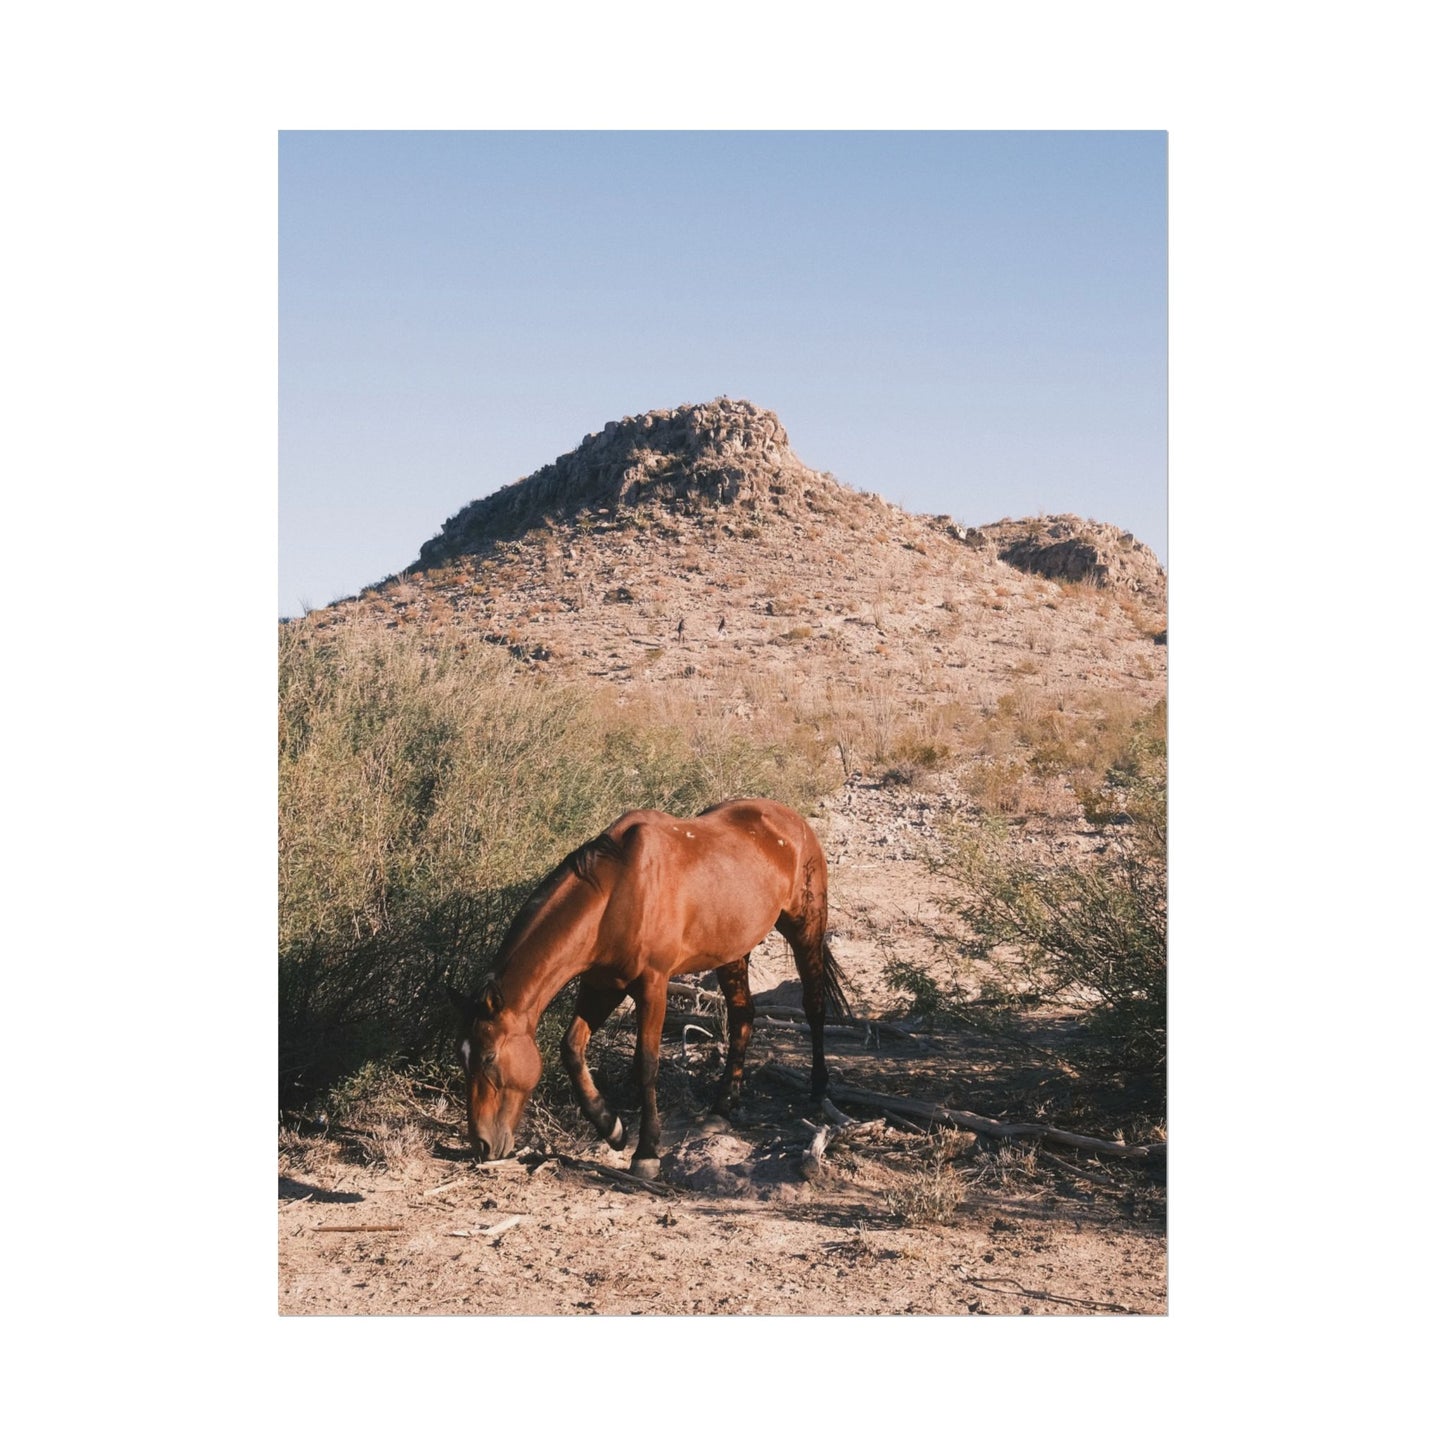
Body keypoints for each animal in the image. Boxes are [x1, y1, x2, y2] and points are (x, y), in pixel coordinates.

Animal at [446, 797, 850, 1179]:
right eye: (463, 1059)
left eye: (488, 1058)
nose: (482, 1144)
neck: (615, 894)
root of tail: (792, 820)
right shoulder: (602, 985)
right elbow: (572, 1048)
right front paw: (611, 1126)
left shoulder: (652, 985)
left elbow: (646, 1064)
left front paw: (647, 1153)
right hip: (732, 951)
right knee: (743, 1016)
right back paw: (723, 1106)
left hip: (805, 928)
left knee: (814, 1006)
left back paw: (818, 1090)